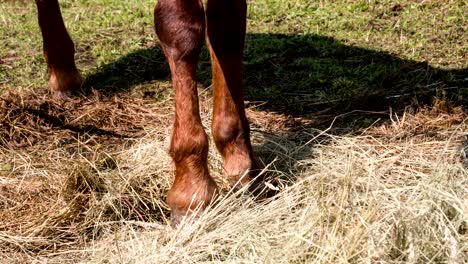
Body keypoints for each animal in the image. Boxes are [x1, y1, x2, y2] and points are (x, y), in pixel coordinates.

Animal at [34, 0, 258, 225]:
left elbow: (226, 31)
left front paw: (240, 163)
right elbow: (180, 30)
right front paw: (192, 189)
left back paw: (64, 73)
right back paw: (62, 73)